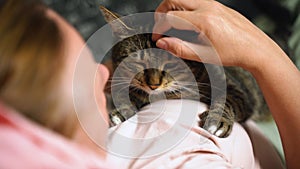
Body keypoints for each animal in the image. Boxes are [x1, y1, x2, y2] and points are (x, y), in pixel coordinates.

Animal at [99, 6, 268, 139]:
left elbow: (227, 100)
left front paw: (218, 120)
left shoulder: (238, 90)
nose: (153, 85)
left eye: (170, 64)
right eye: (139, 62)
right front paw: (122, 111)